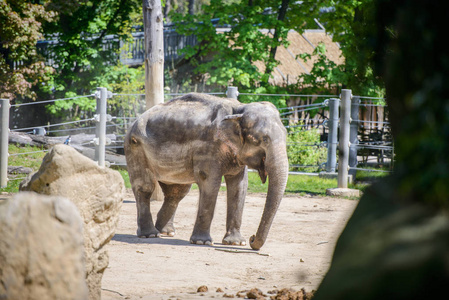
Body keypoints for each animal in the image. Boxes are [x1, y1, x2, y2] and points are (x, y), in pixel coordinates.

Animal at [123, 92, 288, 250]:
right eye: (264, 139)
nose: (252, 238)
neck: (239, 109)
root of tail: (134, 121)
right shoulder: (208, 147)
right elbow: (210, 182)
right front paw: (202, 242)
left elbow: (239, 187)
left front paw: (235, 243)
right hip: (135, 148)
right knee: (145, 188)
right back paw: (150, 234)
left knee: (177, 192)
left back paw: (166, 232)